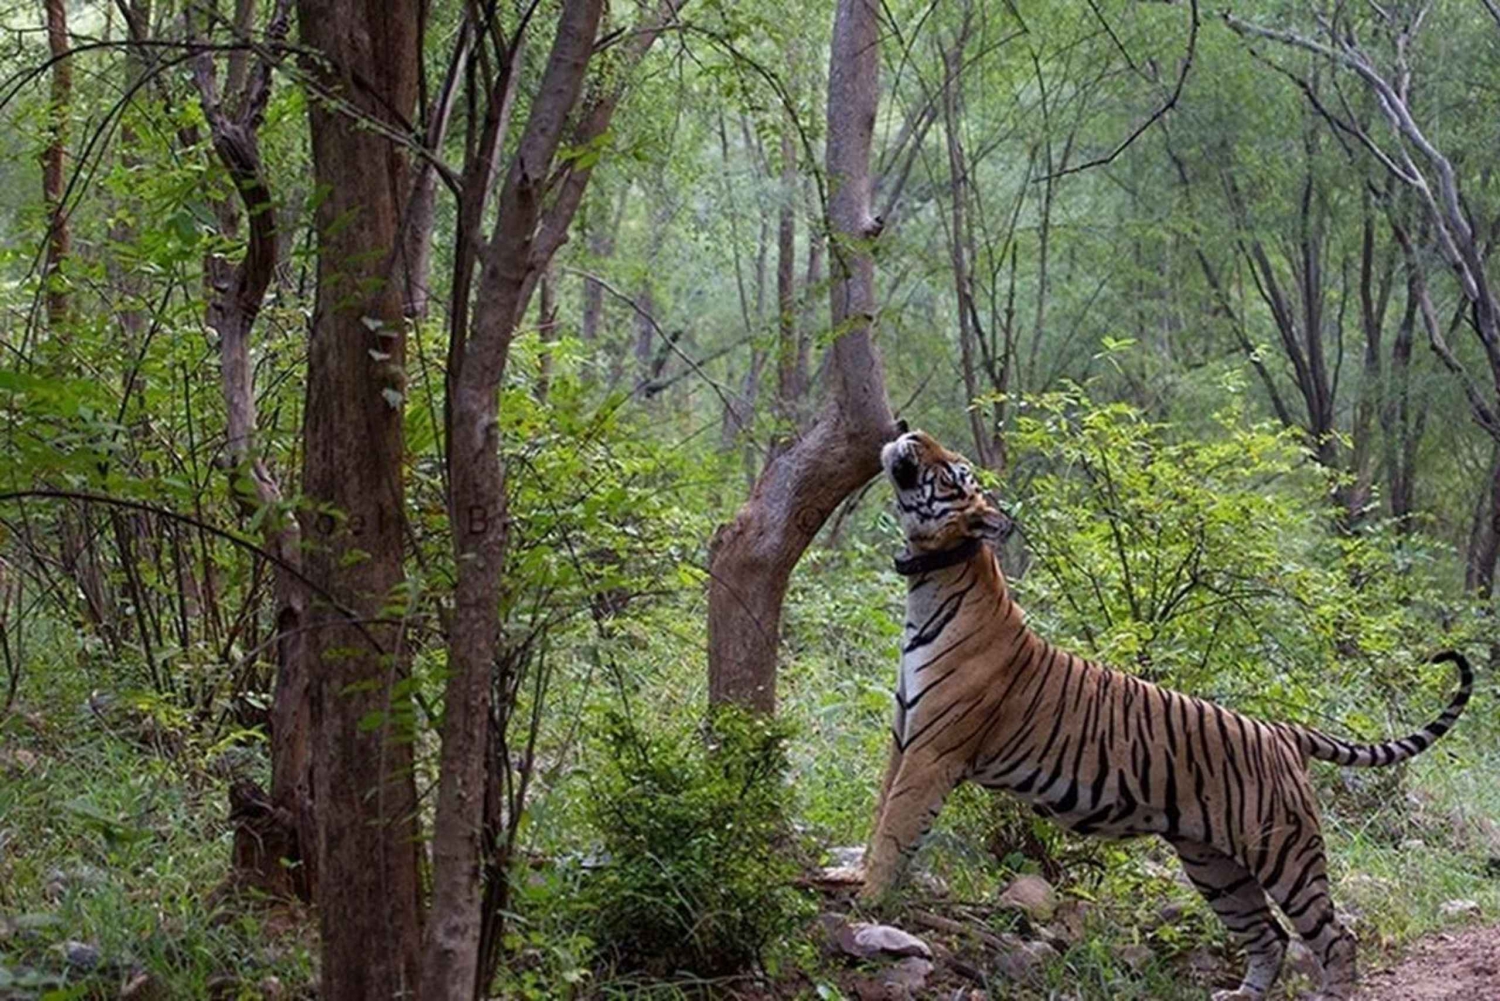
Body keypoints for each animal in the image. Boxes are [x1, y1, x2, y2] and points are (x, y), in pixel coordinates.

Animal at [864, 432, 1470, 1001]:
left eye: (953, 470)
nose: (910, 433)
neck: (932, 576)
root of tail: (1281, 731)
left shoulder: (933, 751)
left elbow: (894, 829)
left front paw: (868, 899)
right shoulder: (904, 741)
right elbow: (881, 818)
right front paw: (855, 878)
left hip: (1284, 853)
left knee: (1335, 936)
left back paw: (1331, 991)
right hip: (1214, 864)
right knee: (1268, 934)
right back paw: (1240, 994)